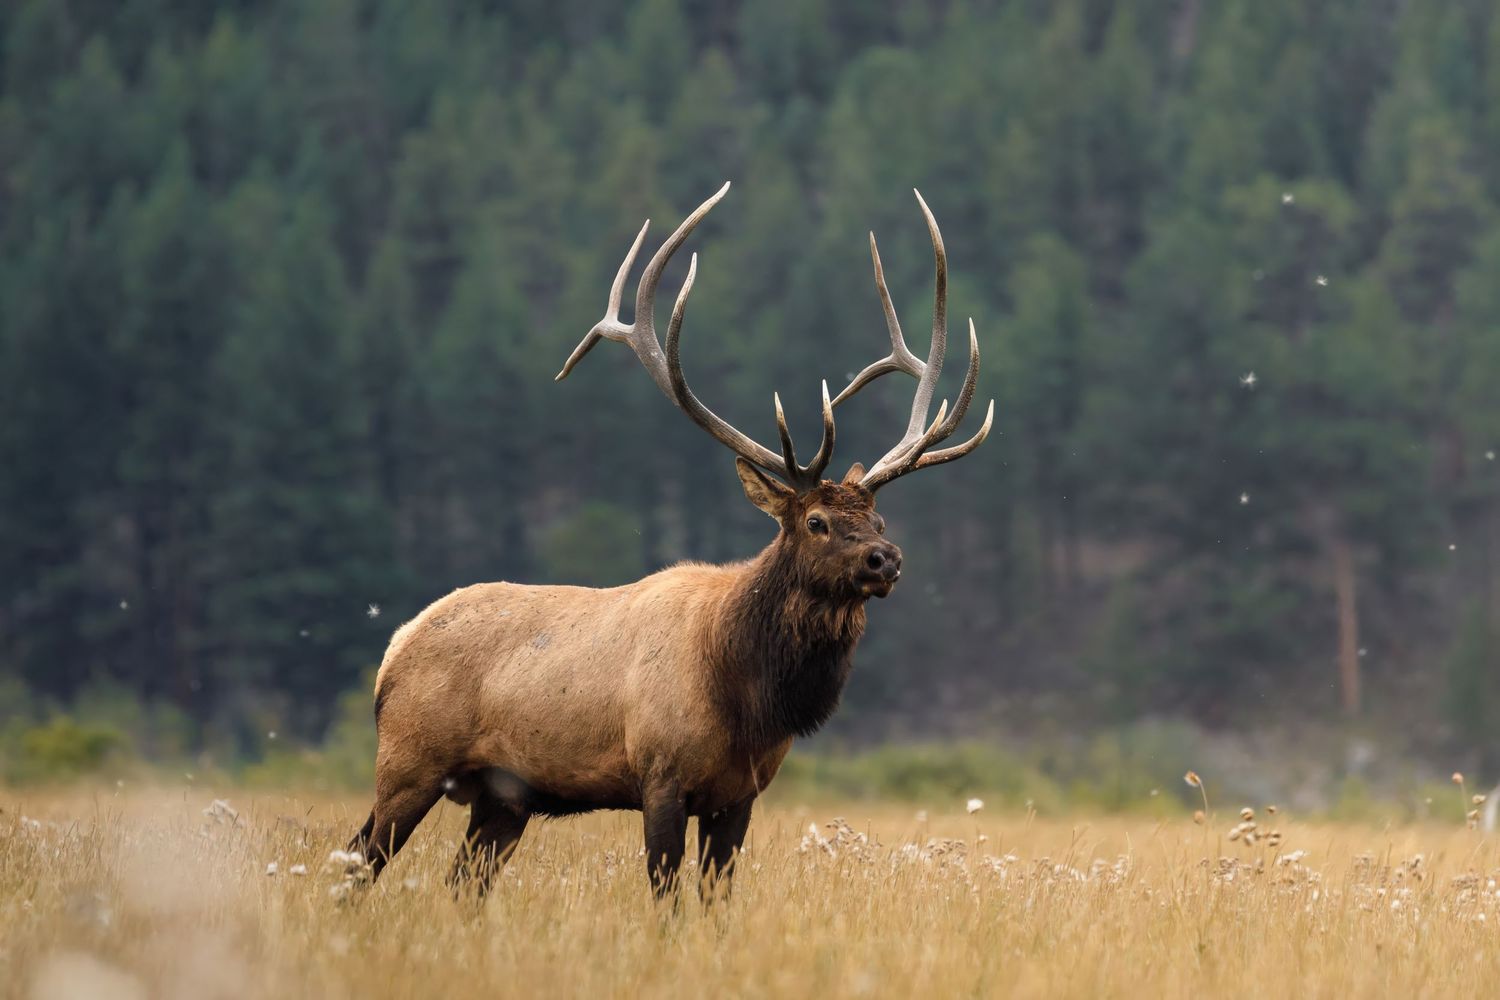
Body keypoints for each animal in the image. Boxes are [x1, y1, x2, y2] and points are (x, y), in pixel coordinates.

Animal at [350, 182, 994, 900]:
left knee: (459, 881)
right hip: (408, 760)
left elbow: (716, 899)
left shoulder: (739, 794)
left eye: (878, 522)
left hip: (502, 797)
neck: (747, 696)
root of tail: (394, 648)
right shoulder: (661, 775)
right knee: (359, 860)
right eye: (816, 522)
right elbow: (666, 895)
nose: (888, 560)